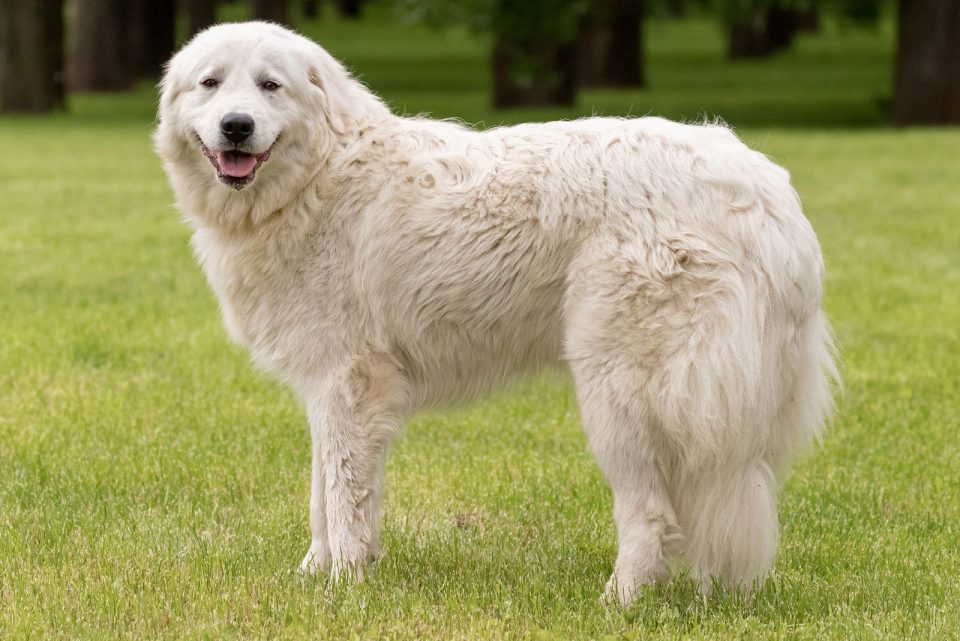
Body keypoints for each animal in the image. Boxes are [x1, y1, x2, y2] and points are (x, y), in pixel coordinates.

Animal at [156, 20, 832, 600]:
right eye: (210, 84)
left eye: (270, 86)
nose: (237, 126)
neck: (314, 178)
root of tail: (768, 193)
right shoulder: (326, 387)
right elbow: (323, 495)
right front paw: (313, 576)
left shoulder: (348, 385)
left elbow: (343, 497)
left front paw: (344, 587)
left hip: (620, 393)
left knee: (650, 515)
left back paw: (617, 601)